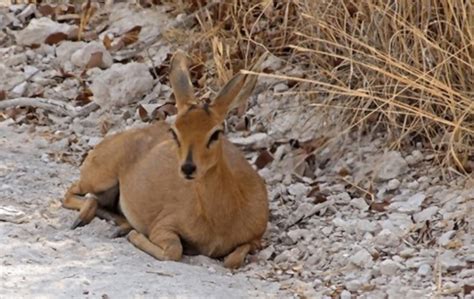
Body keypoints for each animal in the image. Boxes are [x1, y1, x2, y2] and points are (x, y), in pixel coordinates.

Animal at [62, 51, 268, 270]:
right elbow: (173, 251)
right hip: (99, 179)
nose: (188, 168)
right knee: (72, 194)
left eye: (216, 133)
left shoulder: (256, 238)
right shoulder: (163, 226)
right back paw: (85, 220)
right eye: (175, 132)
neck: (220, 222)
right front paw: (135, 236)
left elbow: (232, 259)